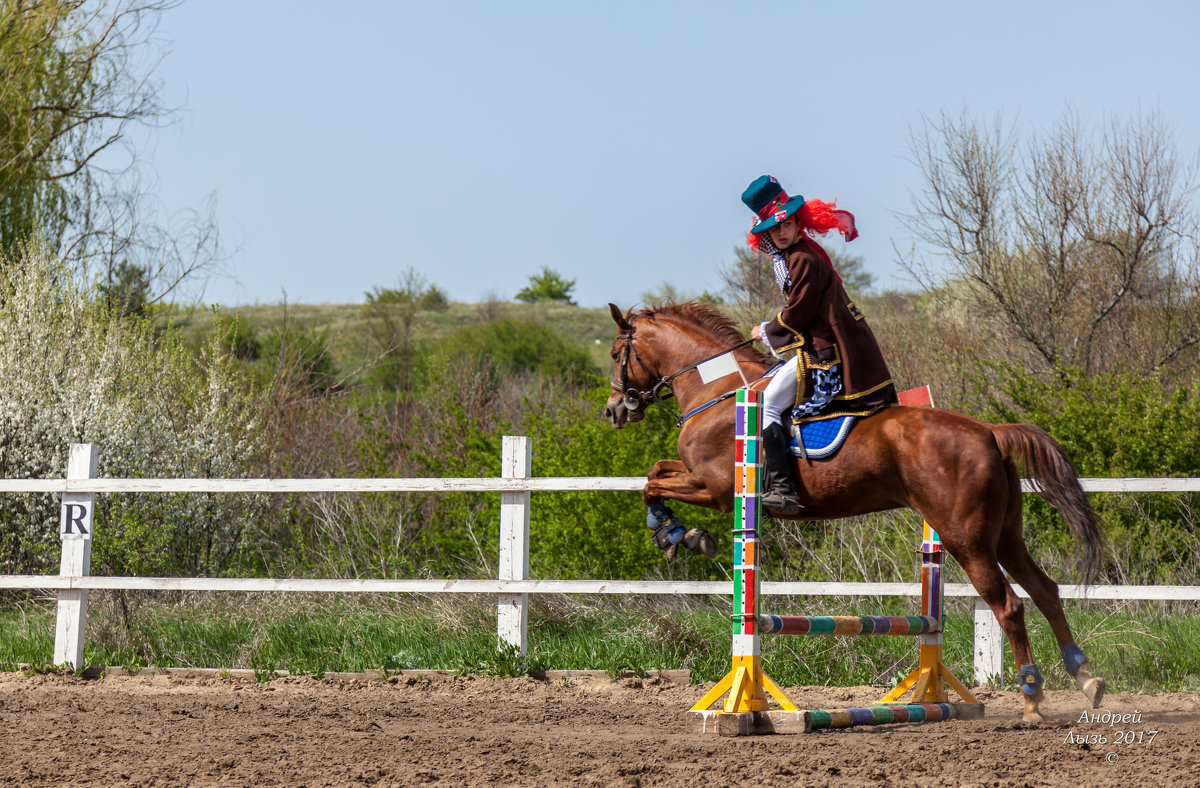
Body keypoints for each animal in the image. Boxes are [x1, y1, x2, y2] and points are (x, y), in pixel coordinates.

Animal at [609, 301, 1104, 719]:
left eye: (617, 353)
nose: (614, 410)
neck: (722, 392)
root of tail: (990, 431)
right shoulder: (697, 477)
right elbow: (656, 472)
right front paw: (679, 534)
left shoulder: (712, 486)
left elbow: (651, 485)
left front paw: (676, 534)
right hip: (1004, 536)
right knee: (1045, 591)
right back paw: (1085, 677)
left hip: (967, 539)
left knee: (1009, 606)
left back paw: (1032, 698)